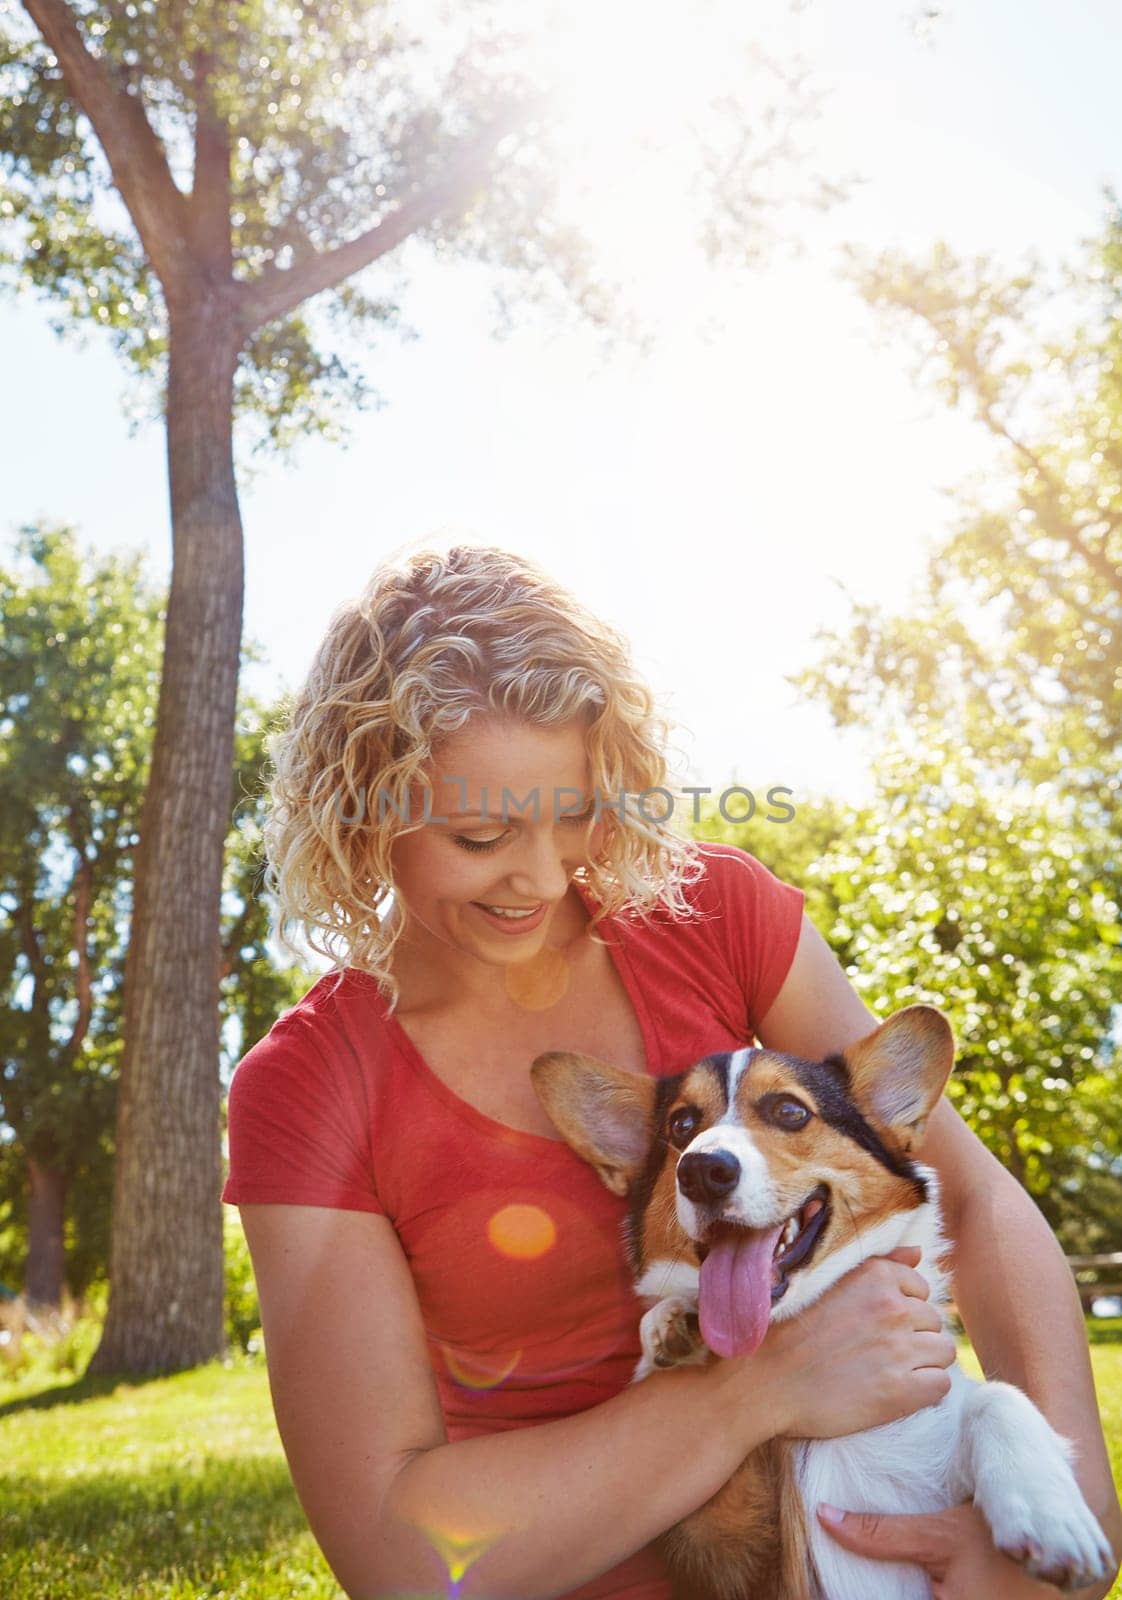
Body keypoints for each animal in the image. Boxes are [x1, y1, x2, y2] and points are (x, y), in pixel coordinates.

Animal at [531, 1004, 1113, 1600]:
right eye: (681, 1126)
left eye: (790, 1112)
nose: (700, 1170)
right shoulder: (722, 1544)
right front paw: (672, 1324)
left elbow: (997, 1396)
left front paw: (1052, 1517)